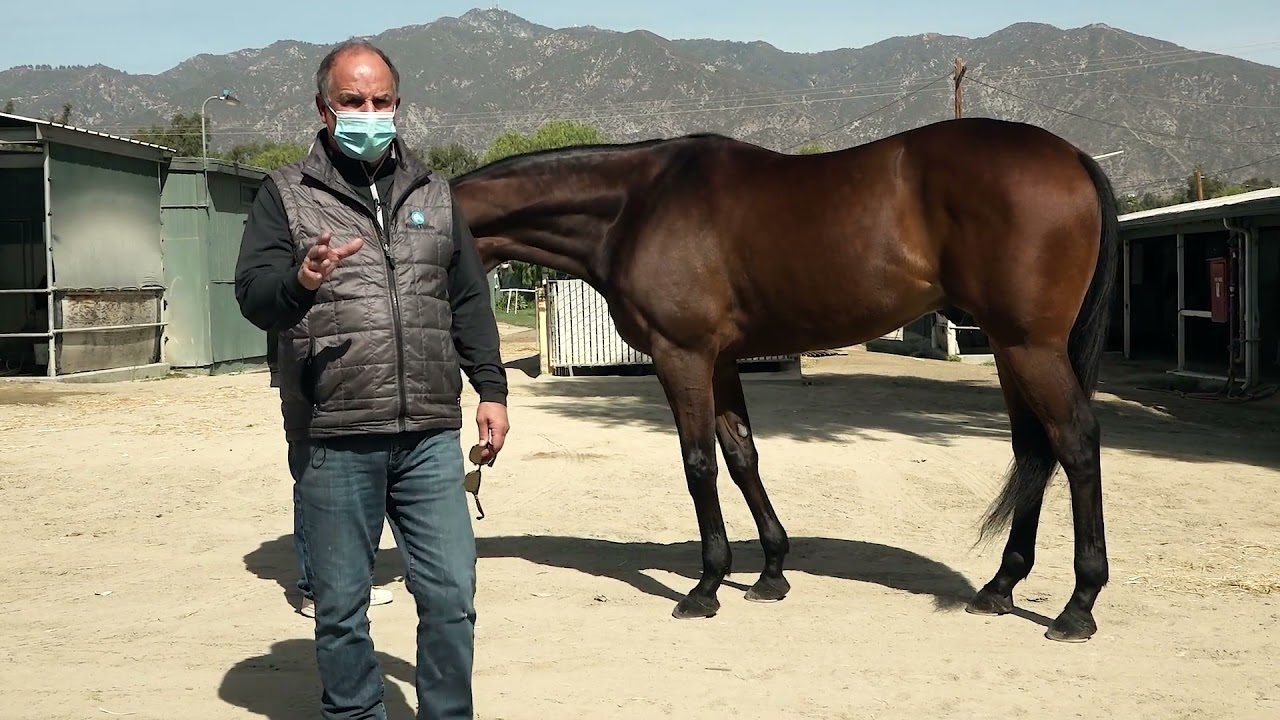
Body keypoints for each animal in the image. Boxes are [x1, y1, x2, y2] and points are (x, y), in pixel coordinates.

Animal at [449, 116, 1120, 643]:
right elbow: (742, 455)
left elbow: (699, 463)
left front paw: (706, 586)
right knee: (1034, 449)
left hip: (1031, 347)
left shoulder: (682, 356)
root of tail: (1073, 158)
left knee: (1076, 442)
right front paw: (771, 572)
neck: (635, 206)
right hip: (1010, 349)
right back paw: (1001, 586)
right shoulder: (720, 361)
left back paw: (1077, 607)